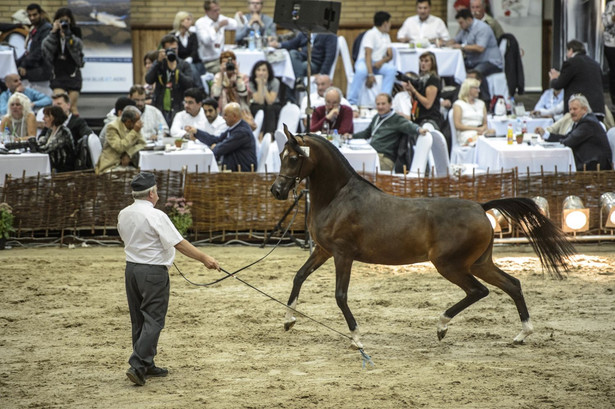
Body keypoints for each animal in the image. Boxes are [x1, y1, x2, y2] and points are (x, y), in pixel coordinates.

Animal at [270, 127, 576, 348]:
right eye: (281, 155)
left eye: (294, 158)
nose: (276, 191)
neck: (339, 197)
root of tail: (480, 207)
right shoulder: (323, 250)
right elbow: (299, 277)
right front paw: (288, 321)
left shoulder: (343, 255)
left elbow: (340, 295)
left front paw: (356, 338)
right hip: (480, 263)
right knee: (512, 285)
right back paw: (522, 334)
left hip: (450, 265)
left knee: (478, 291)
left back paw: (442, 326)